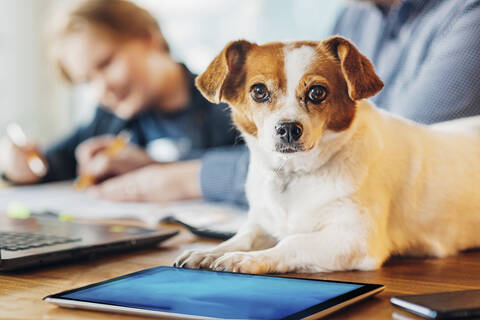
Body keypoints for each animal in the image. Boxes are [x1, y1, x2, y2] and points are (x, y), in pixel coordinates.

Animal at [174, 37, 480, 272]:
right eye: (258, 91)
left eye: (317, 92)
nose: (288, 128)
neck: (294, 174)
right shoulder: (263, 223)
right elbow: (245, 236)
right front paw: (211, 251)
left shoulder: (355, 239)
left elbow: (292, 242)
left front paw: (248, 259)